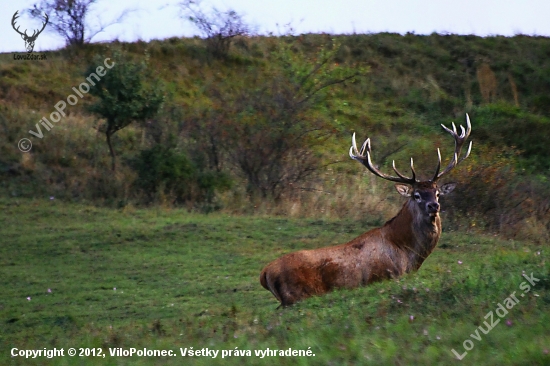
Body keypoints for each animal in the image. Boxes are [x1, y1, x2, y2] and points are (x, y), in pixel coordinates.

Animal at [260, 114, 474, 306]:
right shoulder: (386, 276)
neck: (408, 256)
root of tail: (265, 273)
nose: (434, 205)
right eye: (417, 195)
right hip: (297, 294)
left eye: (437, 193)